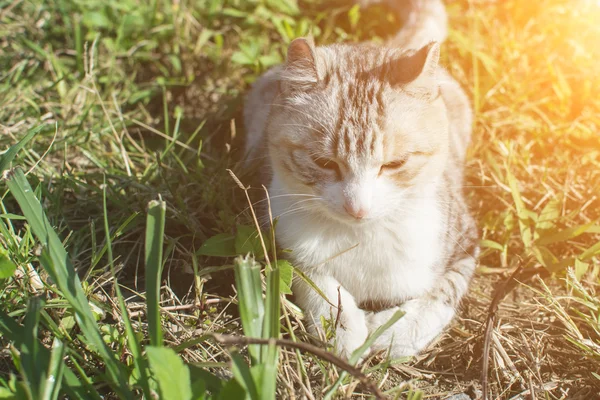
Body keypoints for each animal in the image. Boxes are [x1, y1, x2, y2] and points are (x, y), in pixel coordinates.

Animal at [244, 0, 478, 358]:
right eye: (323, 162)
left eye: (395, 163)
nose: (358, 208)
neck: (362, 237)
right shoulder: (277, 234)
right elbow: (310, 277)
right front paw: (340, 325)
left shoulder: (464, 242)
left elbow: (442, 294)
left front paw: (393, 331)